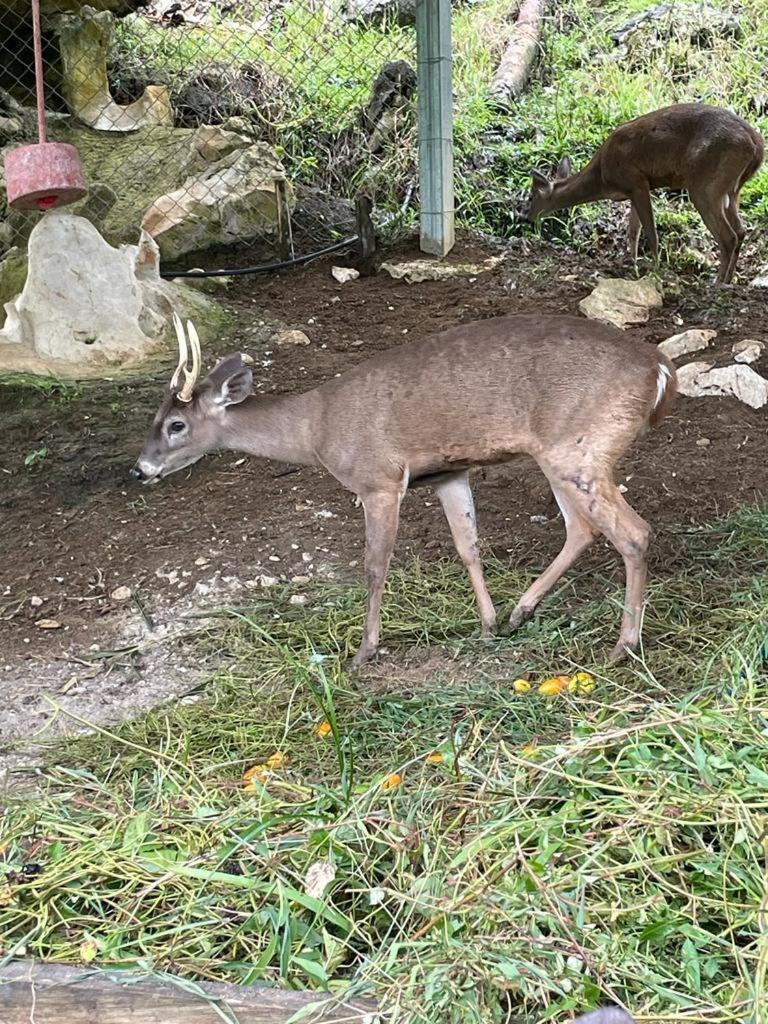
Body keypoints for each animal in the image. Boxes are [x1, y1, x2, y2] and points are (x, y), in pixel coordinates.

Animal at [135, 309, 675, 671]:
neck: (316, 429)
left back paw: (623, 645)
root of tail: (661, 371)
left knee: (634, 532)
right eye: (155, 419)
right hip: (560, 454)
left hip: (578, 447)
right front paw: (487, 623)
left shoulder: (379, 479)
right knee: (582, 529)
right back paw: (522, 612)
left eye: (177, 425)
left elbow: (375, 566)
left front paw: (363, 651)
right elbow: (468, 546)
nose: (141, 469)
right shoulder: (448, 474)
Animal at [528, 101, 765, 284]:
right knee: (741, 231)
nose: (526, 215)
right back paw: (729, 280)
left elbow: (650, 231)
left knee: (729, 236)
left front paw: (655, 268)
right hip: (732, 189)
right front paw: (630, 264)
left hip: (705, 183)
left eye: (531, 196)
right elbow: (633, 231)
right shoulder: (635, 189)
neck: (602, 177)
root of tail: (757, 145)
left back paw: (717, 282)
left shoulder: (637, 181)